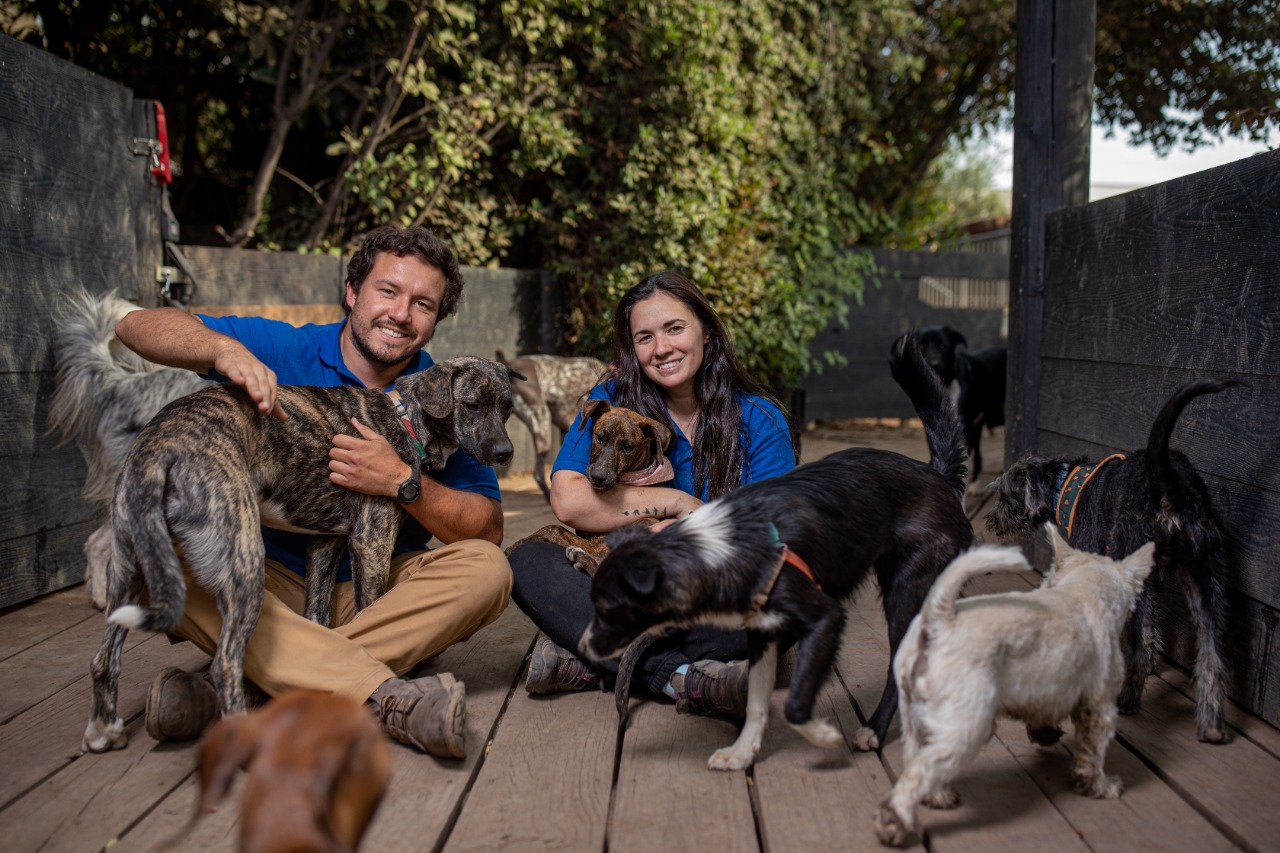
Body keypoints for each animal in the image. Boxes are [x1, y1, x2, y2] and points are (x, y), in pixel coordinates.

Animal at [581, 327, 967, 768]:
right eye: (598, 439)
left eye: (611, 608)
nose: (585, 647)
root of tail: (937, 476)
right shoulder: (762, 630)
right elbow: (756, 702)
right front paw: (741, 753)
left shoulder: (825, 617)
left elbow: (796, 703)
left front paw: (823, 735)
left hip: (908, 589)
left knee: (903, 664)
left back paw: (876, 730)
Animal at [983, 376, 1233, 742]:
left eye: (1005, 496)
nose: (990, 522)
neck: (1061, 486)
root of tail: (1169, 483)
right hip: (1205, 577)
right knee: (1212, 656)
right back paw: (1212, 725)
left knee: (1140, 646)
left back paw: (1127, 700)